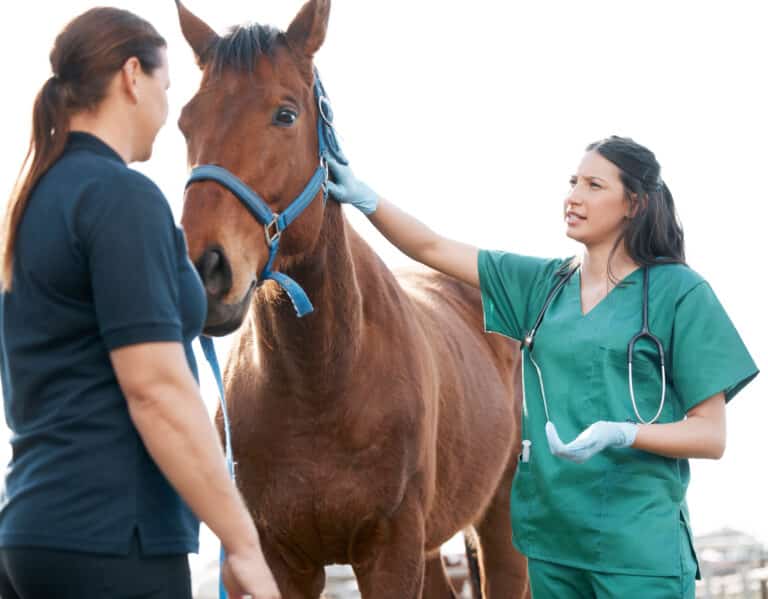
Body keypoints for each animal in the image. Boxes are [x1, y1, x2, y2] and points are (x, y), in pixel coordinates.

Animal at [175, 1, 530, 597]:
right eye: (185, 120)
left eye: (286, 114)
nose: (203, 270)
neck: (322, 380)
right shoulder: (277, 559)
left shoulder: (390, 550)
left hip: (500, 523)